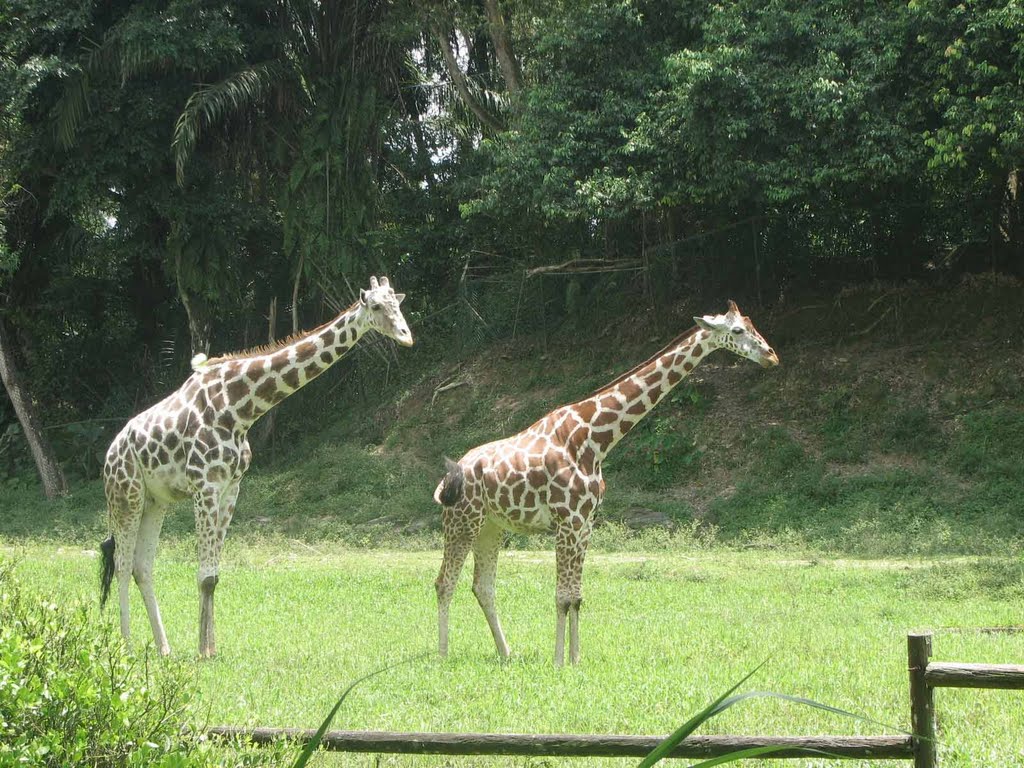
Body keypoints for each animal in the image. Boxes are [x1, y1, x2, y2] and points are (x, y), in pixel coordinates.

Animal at [97, 274, 411, 659]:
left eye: (398, 305)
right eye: (377, 307)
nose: (406, 335)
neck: (240, 409)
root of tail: (110, 455)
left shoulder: (232, 487)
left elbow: (213, 576)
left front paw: (210, 648)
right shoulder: (205, 486)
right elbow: (203, 574)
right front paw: (203, 651)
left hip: (156, 503)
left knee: (142, 566)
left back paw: (164, 648)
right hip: (126, 496)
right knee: (122, 565)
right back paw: (125, 647)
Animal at [432, 301, 774, 667]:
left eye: (752, 325)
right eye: (737, 330)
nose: (771, 355)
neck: (594, 440)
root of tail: (448, 477)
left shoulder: (585, 524)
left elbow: (576, 597)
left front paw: (575, 660)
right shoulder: (567, 522)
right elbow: (561, 596)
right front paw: (558, 662)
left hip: (491, 527)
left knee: (483, 586)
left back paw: (506, 653)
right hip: (462, 522)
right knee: (444, 583)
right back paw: (443, 656)